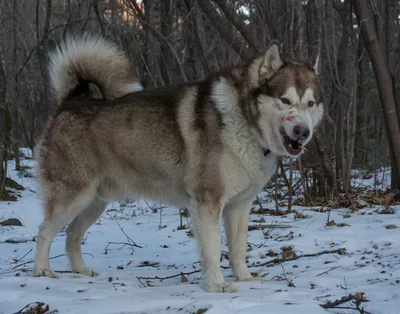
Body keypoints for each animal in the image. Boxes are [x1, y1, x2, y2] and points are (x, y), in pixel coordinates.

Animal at [32, 35, 324, 294]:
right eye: (285, 100)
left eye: (310, 103)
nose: (302, 132)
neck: (244, 121)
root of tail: (70, 101)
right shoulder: (208, 202)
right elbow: (213, 250)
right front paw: (216, 286)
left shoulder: (240, 205)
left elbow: (238, 249)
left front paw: (245, 279)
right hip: (73, 197)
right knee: (44, 231)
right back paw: (43, 271)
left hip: (95, 202)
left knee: (72, 233)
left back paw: (81, 271)